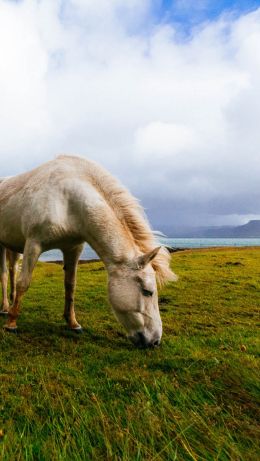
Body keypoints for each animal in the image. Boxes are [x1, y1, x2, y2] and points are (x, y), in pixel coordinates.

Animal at [0, 155, 177, 344]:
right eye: (147, 292)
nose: (155, 341)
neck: (67, 200)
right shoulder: (34, 244)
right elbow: (23, 283)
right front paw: (11, 324)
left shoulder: (73, 248)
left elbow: (70, 286)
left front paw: (72, 323)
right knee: (4, 274)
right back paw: (5, 308)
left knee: (12, 270)